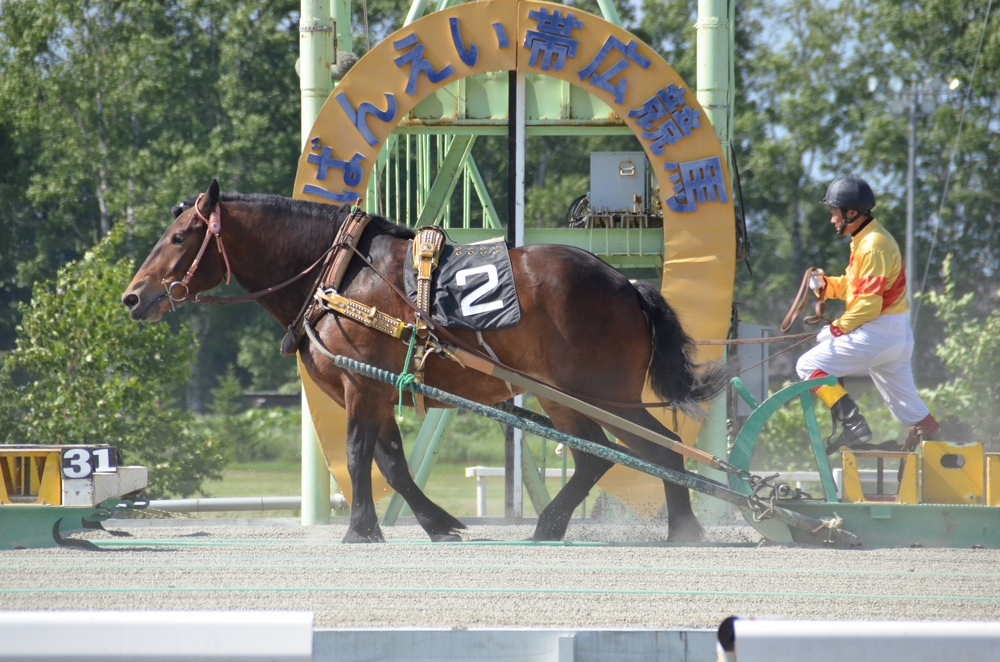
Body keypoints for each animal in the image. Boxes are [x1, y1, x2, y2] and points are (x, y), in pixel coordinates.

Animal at [123, 182, 728, 544]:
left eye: (179, 236)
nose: (133, 296)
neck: (343, 275)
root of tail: (626, 284)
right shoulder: (377, 387)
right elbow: (392, 462)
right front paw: (436, 522)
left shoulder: (361, 386)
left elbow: (359, 453)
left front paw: (360, 527)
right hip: (563, 396)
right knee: (600, 457)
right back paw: (569, 523)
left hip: (601, 393)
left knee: (653, 449)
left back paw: (674, 526)